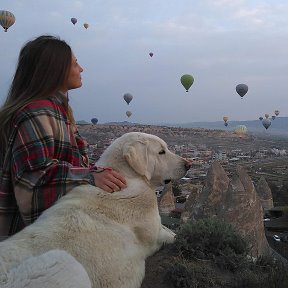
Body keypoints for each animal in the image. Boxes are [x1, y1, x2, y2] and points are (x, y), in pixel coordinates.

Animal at [0, 132, 191, 286]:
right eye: (161, 152)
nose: (189, 164)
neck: (128, 177)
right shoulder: (155, 237)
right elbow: (173, 235)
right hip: (64, 262)